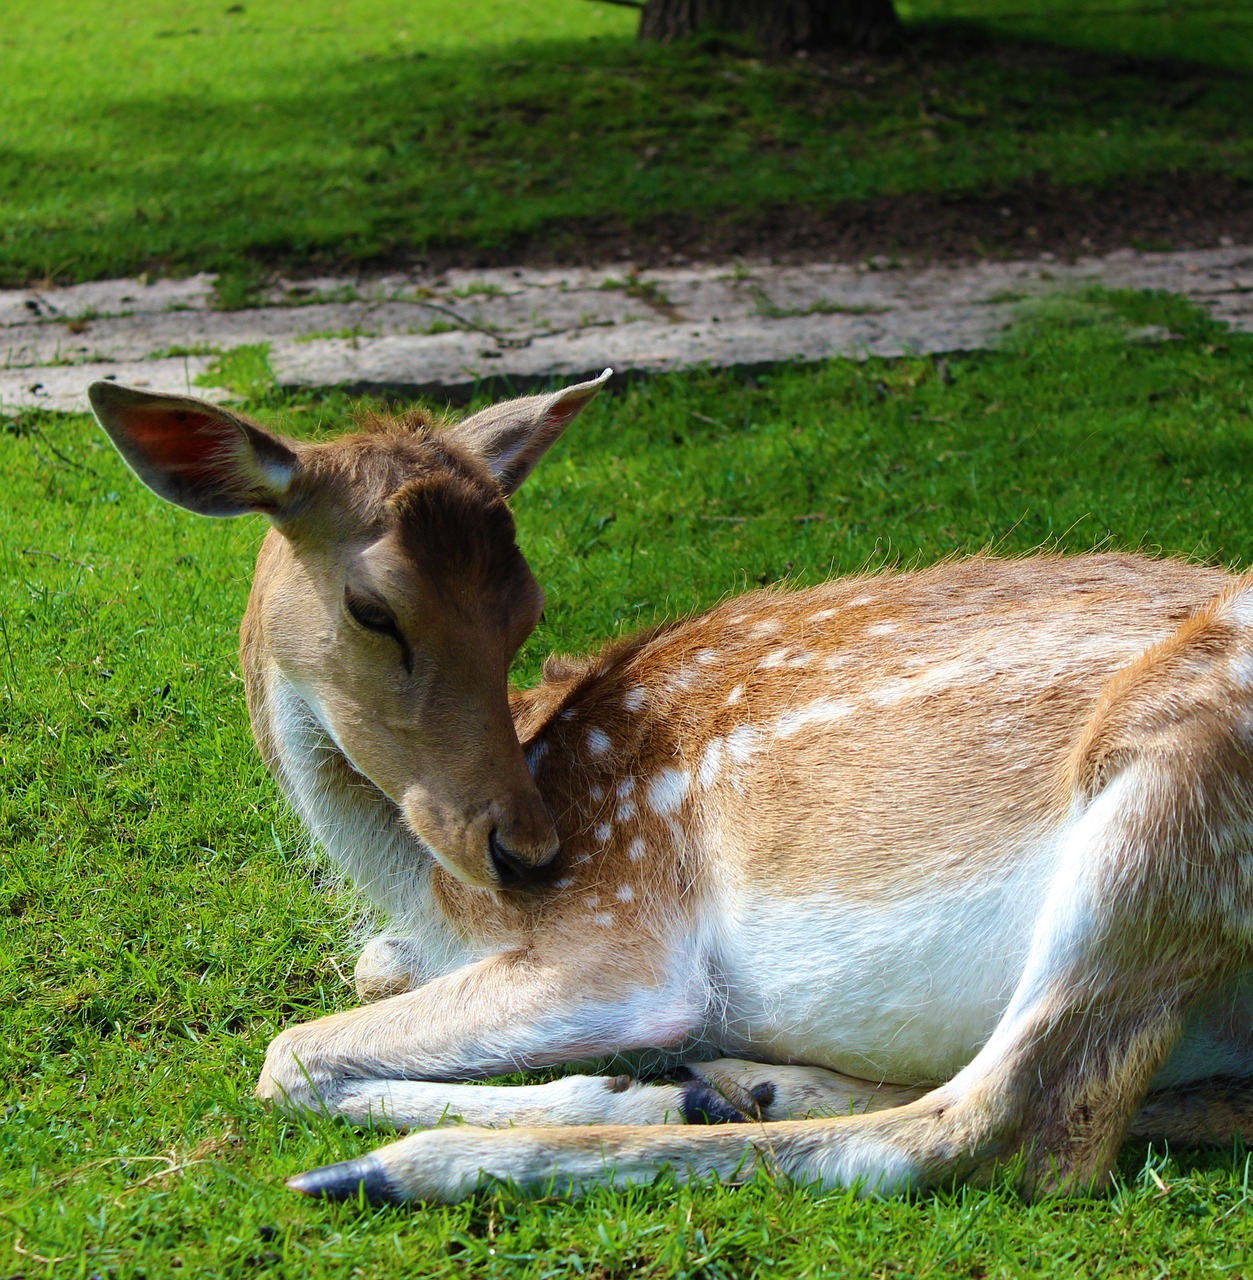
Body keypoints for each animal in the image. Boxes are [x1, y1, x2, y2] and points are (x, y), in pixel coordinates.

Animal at [90, 368, 1253, 1198]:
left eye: (524, 604)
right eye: (371, 608)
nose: (524, 849)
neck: (435, 906)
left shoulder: (620, 936)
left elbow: (287, 1055)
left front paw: (618, 1088)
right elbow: (363, 980)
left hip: (1172, 788)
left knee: (1000, 1130)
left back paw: (414, 1165)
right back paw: (741, 1083)